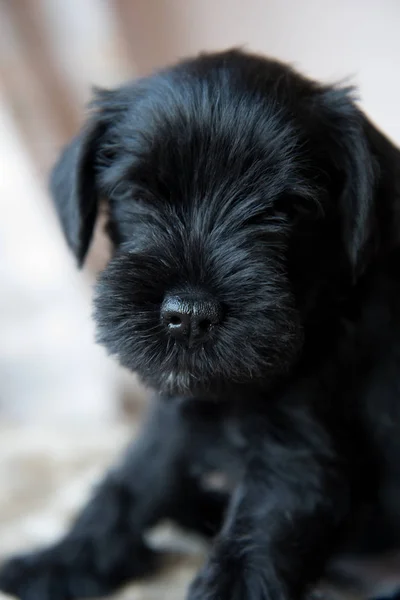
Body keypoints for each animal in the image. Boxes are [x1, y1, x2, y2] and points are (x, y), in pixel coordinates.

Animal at [0, 51, 400, 600]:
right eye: (134, 192)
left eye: (289, 208)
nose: (187, 315)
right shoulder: (175, 416)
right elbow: (127, 486)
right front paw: (61, 562)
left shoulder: (300, 453)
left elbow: (253, 543)